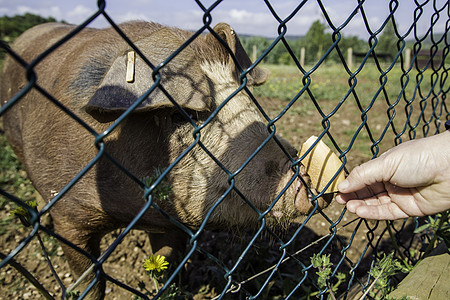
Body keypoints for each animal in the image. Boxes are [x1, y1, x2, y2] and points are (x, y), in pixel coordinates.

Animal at [1, 21, 332, 298]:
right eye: (182, 115)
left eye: (248, 99)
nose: (304, 176)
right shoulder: (70, 218)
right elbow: (91, 283)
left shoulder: (171, 224)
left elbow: (168, 265)